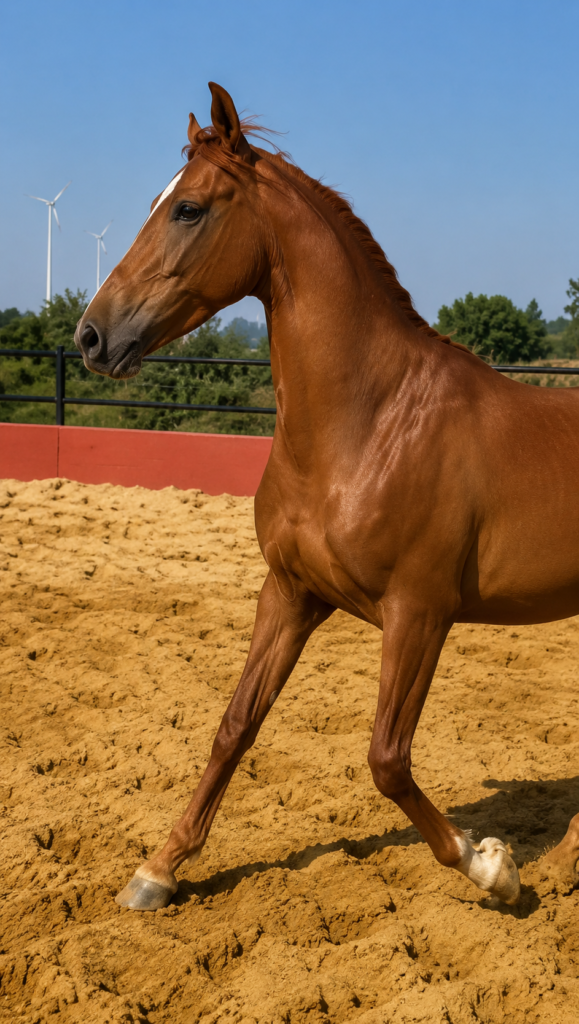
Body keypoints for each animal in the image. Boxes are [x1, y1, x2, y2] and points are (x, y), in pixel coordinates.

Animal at [74, 82, 579, 912]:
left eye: (189, 209)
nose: (91, 337)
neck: (369, 424)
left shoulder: (418, 613)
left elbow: (386, 759)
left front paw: (491, 867)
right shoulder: (289, 592)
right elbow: (234, 725)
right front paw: (157, 870)